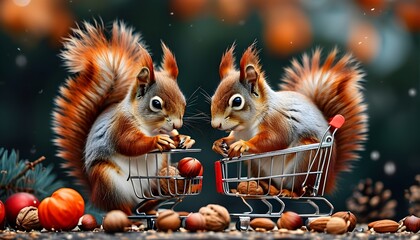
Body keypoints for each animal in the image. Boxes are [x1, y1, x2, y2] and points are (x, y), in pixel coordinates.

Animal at [52, 19, 195, 213]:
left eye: (184, 101)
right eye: (156, 104)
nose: (177, 125)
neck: (150, 127)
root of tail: (95, 196)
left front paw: (185, 139)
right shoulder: (121, 124)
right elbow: (128, 143)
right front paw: (157, 141)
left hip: (156, 176)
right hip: (108, 180)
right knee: (120, 207)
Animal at [212, 43, 366, 195]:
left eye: (237, 101)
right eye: (213, 98)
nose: (215, 125)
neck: (247, 126)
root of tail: (326, 181)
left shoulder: (277, 121)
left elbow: (276, 139)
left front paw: (243, 145)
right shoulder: (239, 133)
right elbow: (232, 139)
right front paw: (219, 143)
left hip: (306, 159)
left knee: (300, 188)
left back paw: (290, 192)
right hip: (257, 165)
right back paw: (265, 186)